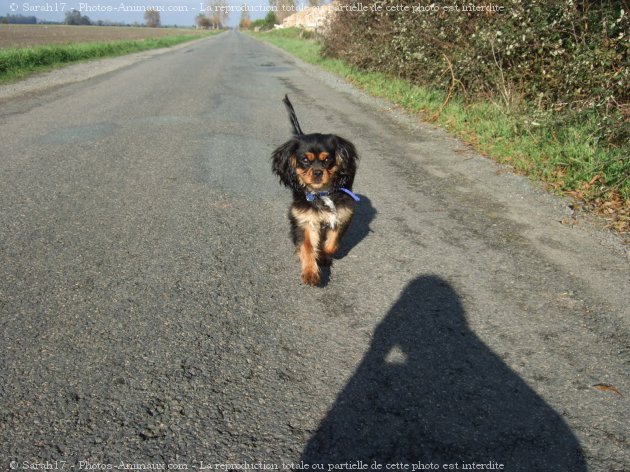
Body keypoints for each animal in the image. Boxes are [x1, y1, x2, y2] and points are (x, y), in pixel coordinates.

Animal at [272, 96, 360, 286]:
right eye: (305, 160)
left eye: (327, 160)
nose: (318, 172)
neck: (322, 194)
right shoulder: (305, 220)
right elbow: (307, 247)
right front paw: (310, 272)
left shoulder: (341, 216)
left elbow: (332, 244)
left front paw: (324, 256)